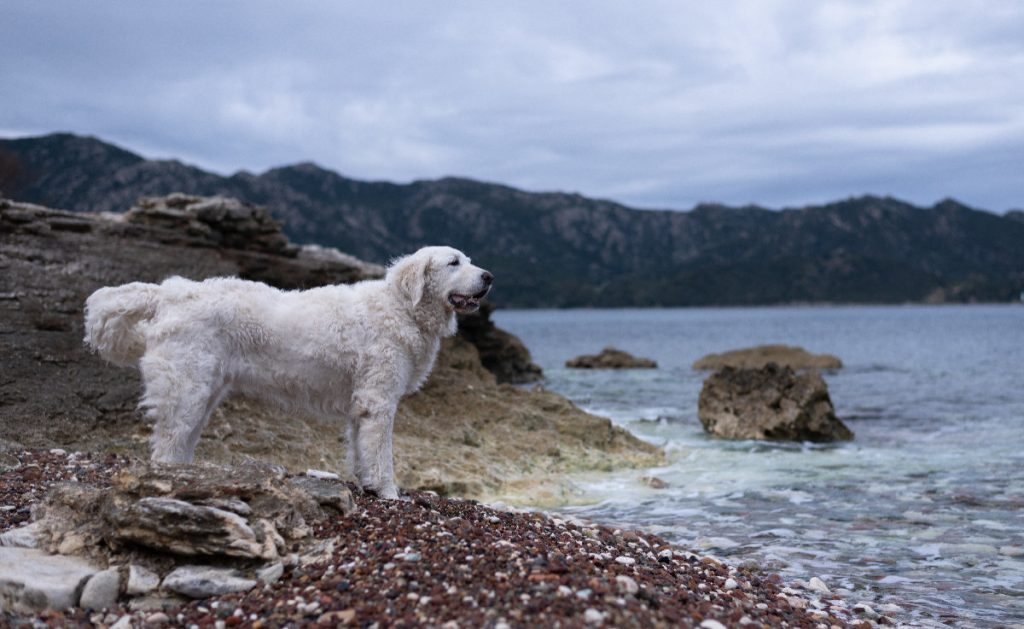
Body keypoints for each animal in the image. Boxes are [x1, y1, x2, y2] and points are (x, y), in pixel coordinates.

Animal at [83, 244, 491, 497]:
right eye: (454, 262)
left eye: (469, 260)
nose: (488, 276)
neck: (401, 307)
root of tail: (170, 292)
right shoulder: (379, 401)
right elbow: (381, 456)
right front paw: (389, 493)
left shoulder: (362, 406)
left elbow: (361, 452)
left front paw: (368, 487)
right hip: (186, 391)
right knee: (167, 448)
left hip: (202, 395)